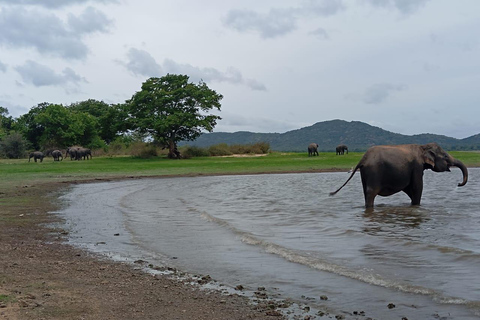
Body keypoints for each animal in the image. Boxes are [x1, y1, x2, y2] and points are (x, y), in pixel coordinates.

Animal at [328, 143, 466, 209]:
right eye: (445, 156)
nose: (459, 184)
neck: (423, 147)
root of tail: (363, 159)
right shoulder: (417, 166)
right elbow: (417, 187)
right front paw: (416, 206)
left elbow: (409, 189)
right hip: (374, 171)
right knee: (371, 192)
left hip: (365, 173)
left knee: (365, 192)